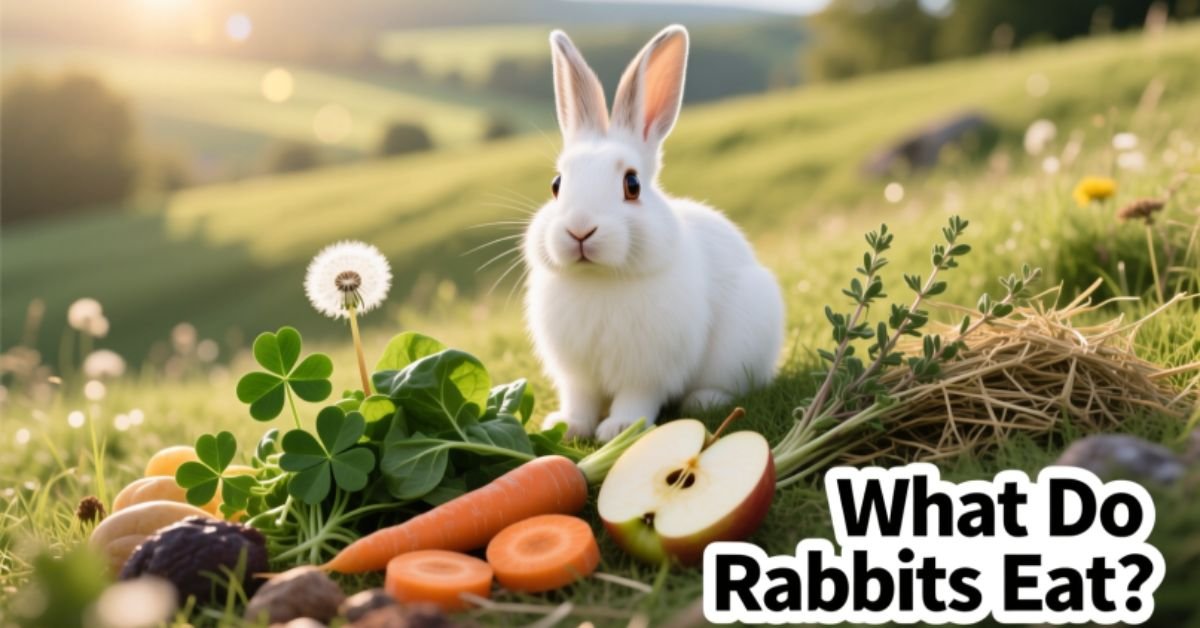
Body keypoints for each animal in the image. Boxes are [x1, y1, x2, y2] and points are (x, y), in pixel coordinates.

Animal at [522, 25, 785, 442]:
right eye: (556, 185)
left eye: (632, 184)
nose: (580, 230)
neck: (598, 280)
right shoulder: (576, 375)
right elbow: (580, 400)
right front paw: (566, 427)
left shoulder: (648, 370)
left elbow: (637, 397)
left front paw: (619, 429)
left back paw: (704, 401)